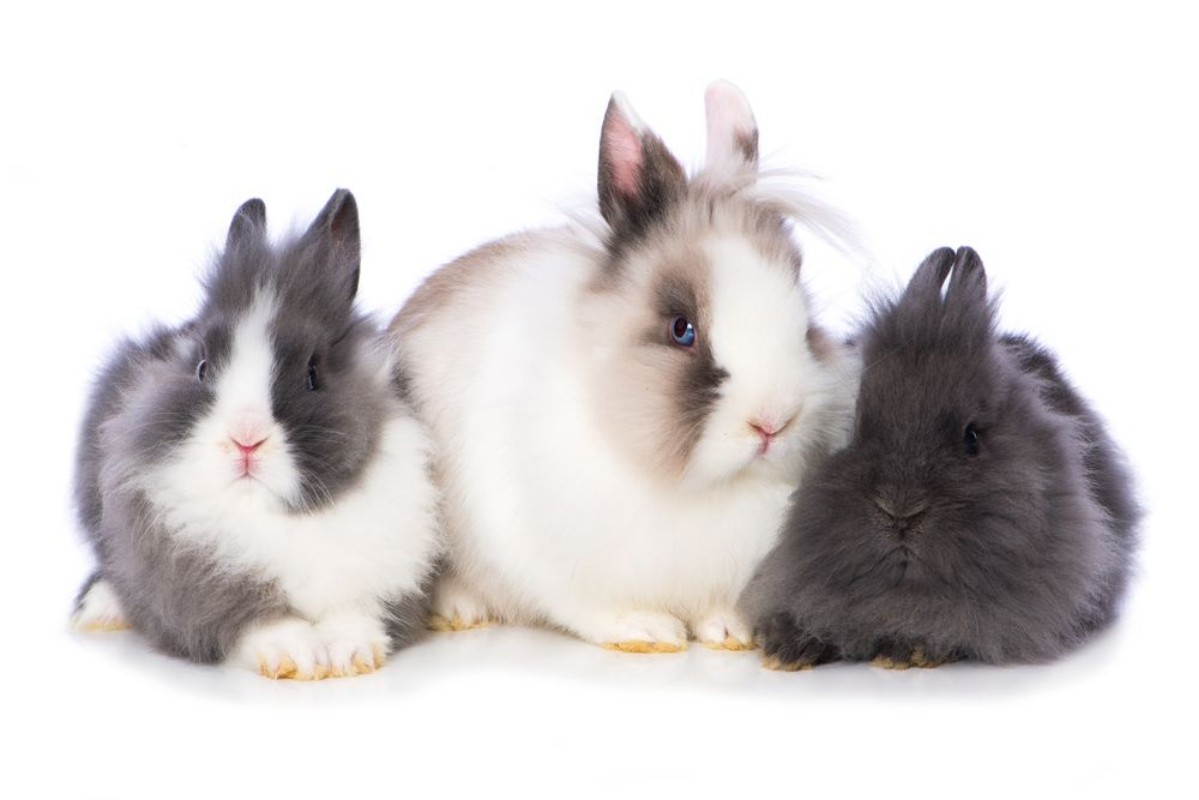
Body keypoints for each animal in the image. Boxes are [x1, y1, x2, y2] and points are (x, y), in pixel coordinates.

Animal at [70, 189, 442, 679]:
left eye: (312, 374)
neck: (276, 517)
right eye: (202, 367)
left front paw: (350, 654)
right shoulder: (198, 585)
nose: (246, 439)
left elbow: (357, 612)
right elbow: (255, 615)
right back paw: (100, 610)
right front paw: (294, 655)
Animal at [389, 82, 860, 652]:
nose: (772, 422)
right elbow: (591, 609)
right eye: (681, 329)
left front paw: (731, 630)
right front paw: (647, 631)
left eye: (805, 321)